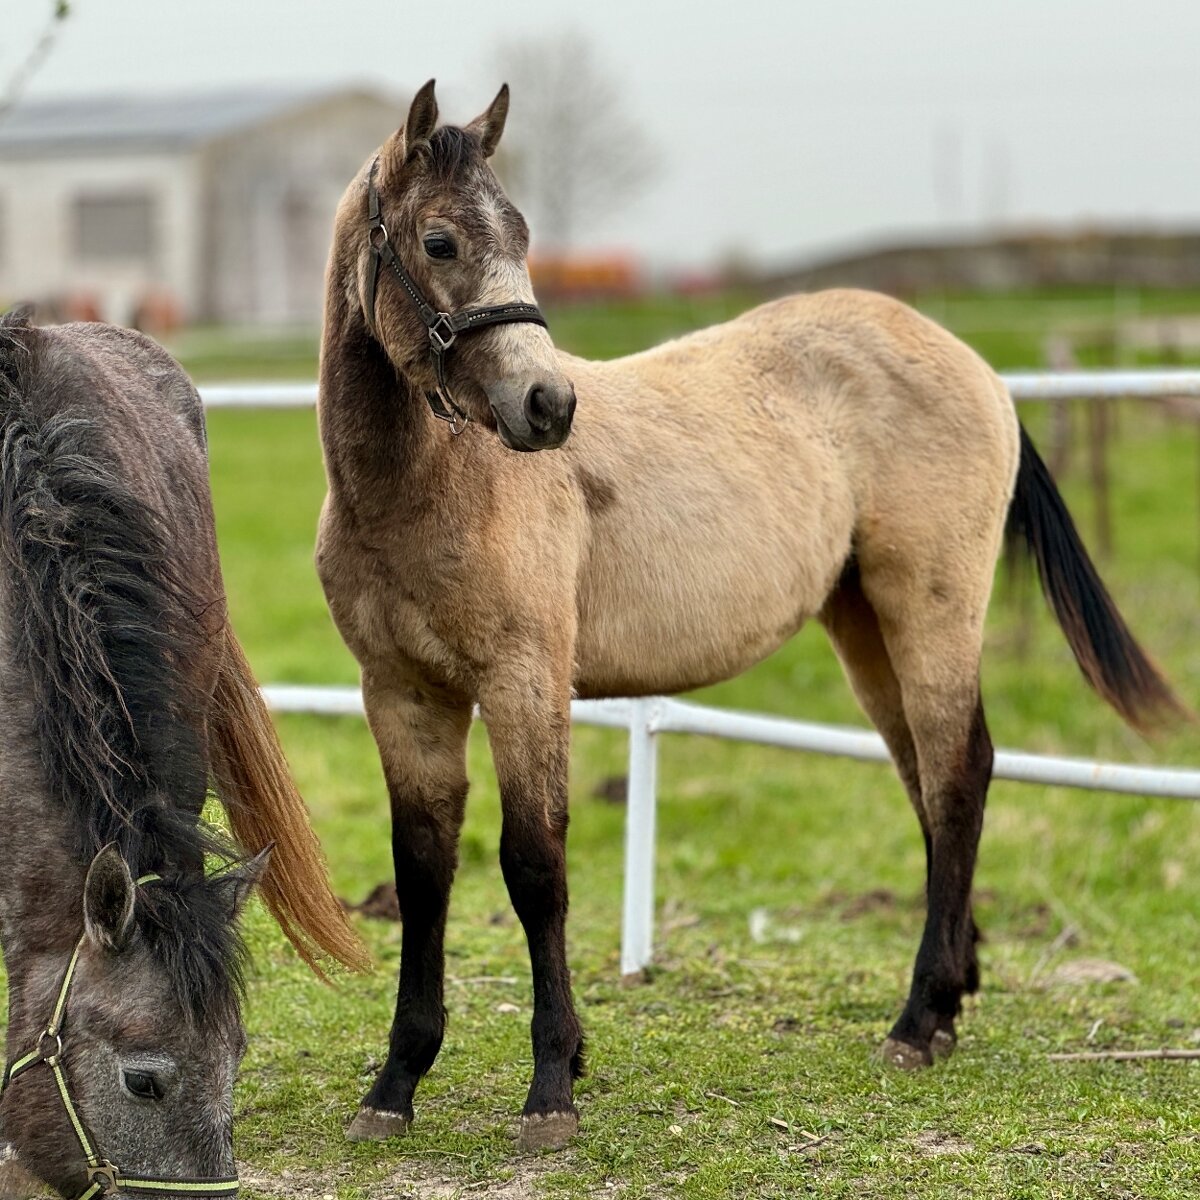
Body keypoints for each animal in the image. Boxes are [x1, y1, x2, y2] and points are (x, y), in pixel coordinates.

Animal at [314, 79, 1185, 1147]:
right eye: (438, 242)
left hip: (929, 611)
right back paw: (948, 1002)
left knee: (958, 773)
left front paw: (553, 1086)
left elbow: (534, 867)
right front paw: (395, 1083)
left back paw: (915, 1020)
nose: (548, 405)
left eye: (518, 232)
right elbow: (423, 870)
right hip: (862, 628)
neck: (428, 490)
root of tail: (978, 369)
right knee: (929, 777)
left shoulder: (523, 684)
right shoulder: (403, 696)